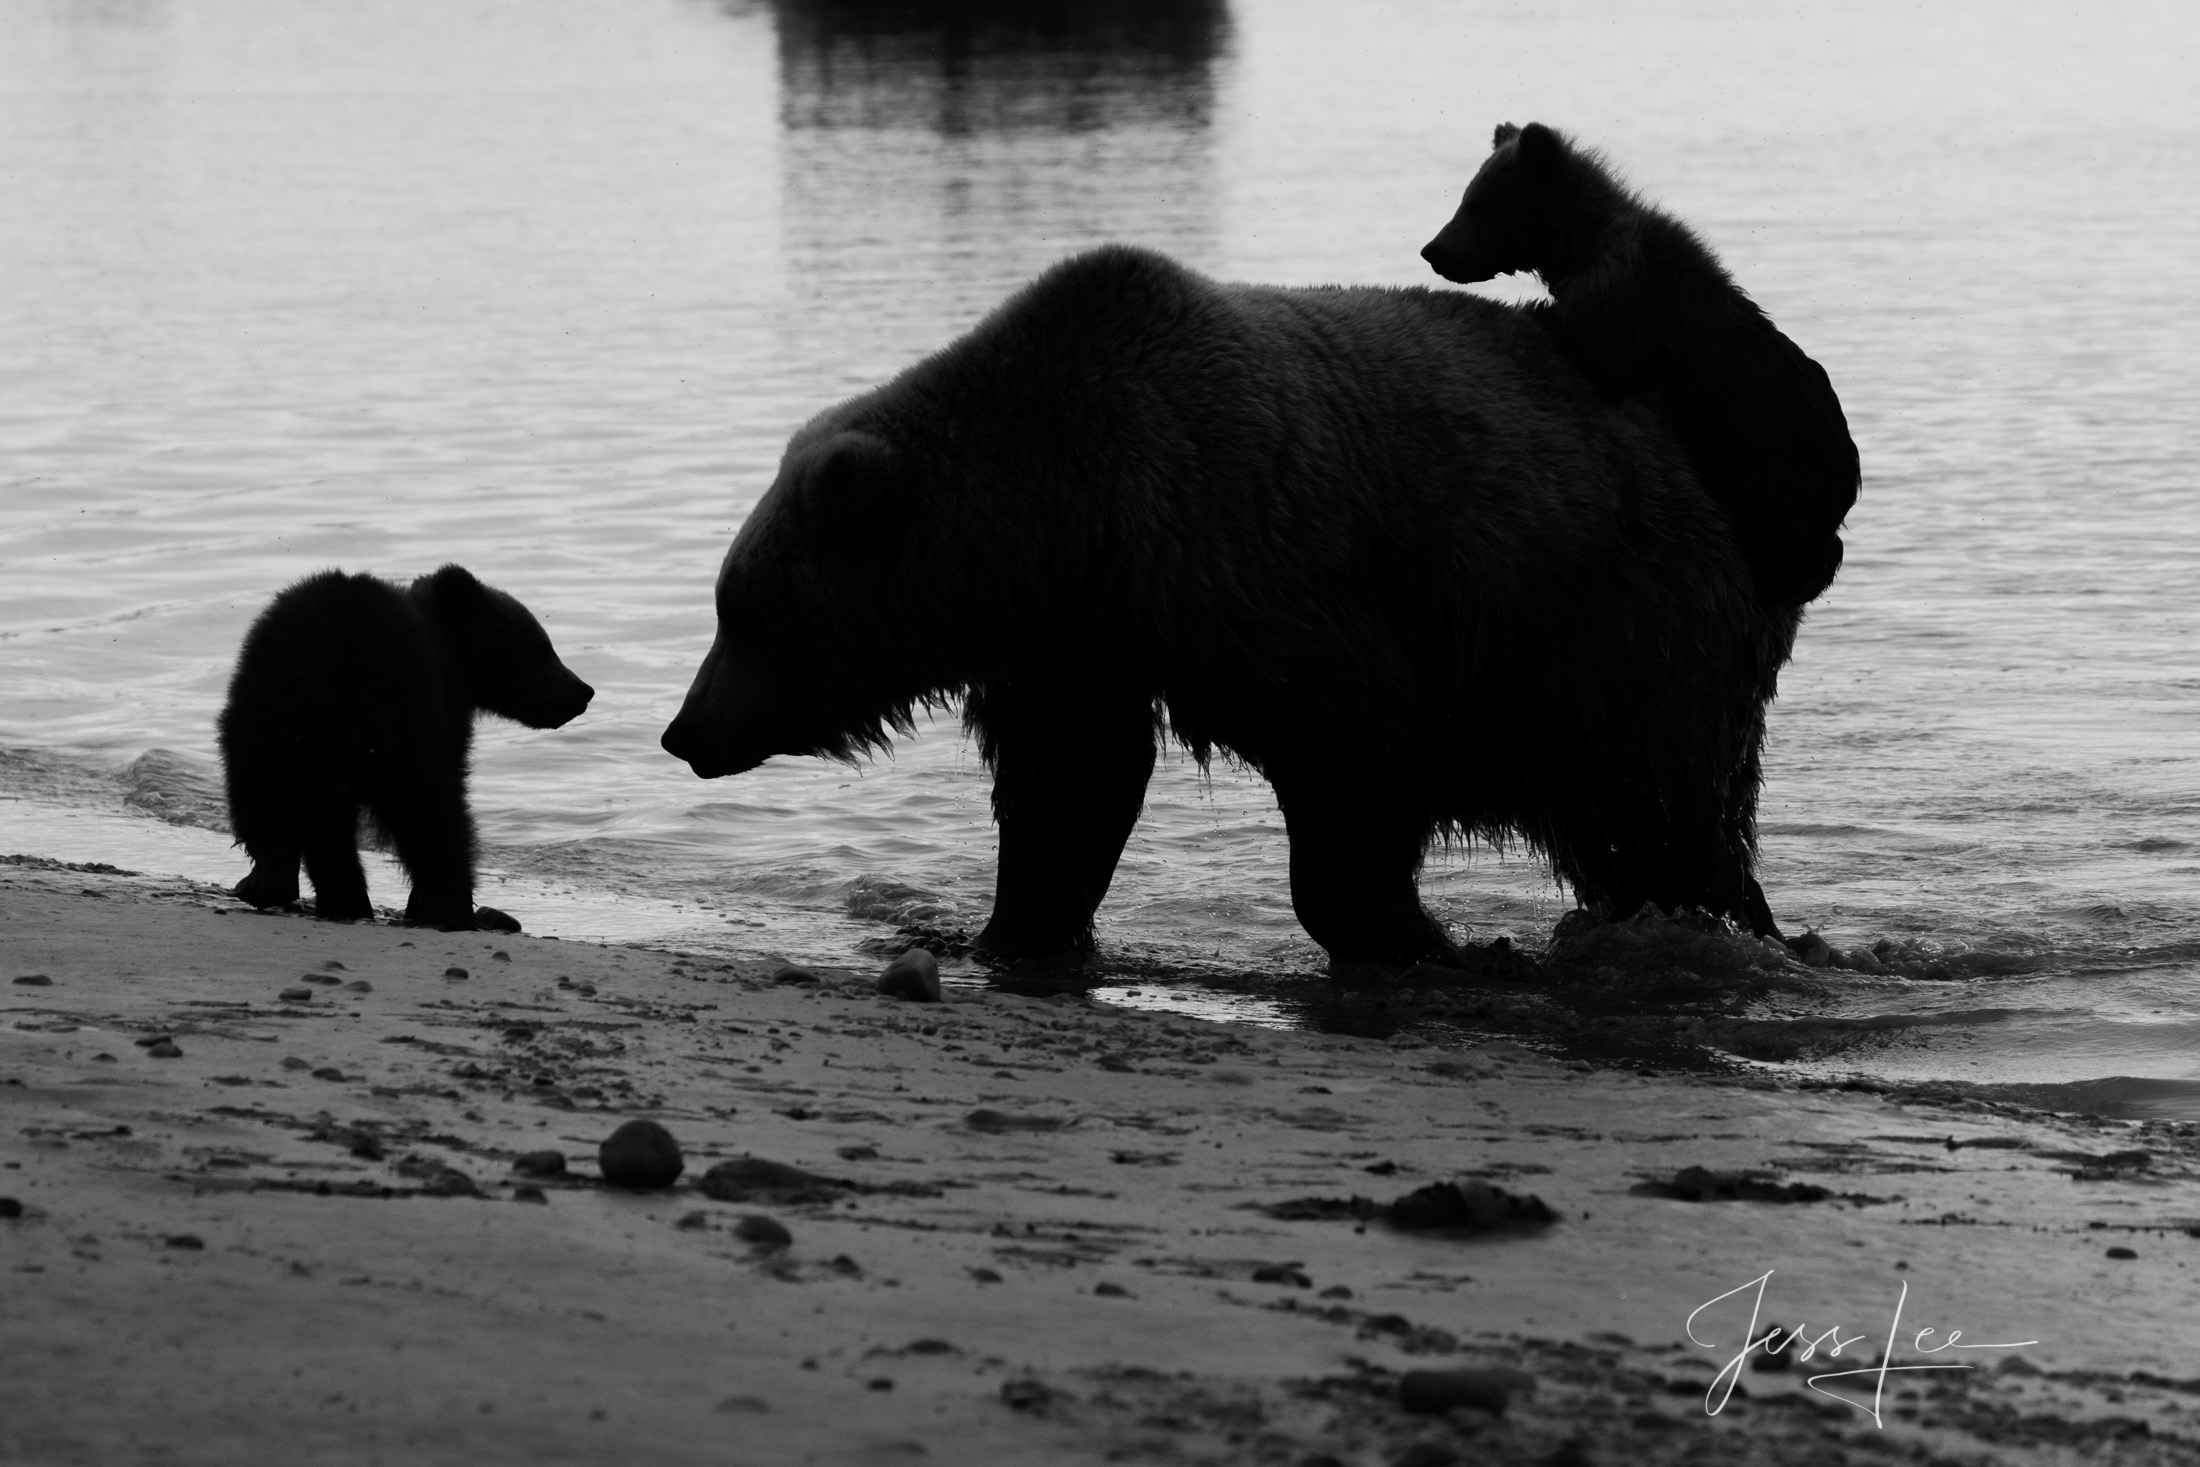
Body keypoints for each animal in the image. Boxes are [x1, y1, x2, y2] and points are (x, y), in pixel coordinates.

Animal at [660, 246, 1795, 967]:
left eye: (744, 610)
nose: (684, 730)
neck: (1074, 520)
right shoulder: (1081, 642)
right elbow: (1069, 786)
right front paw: (1001, 931)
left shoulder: (1257, 572)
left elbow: (1356, 754)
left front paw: (1431, 939)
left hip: (1612, 636)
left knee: (1664, 818)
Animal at [1425, 122, 1856, 607]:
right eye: (1467, 198)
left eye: (1479, 205)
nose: (1432, 251)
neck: (1580, 247)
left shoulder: (1626, 315)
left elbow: (1594, 349)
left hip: (1772, 468)